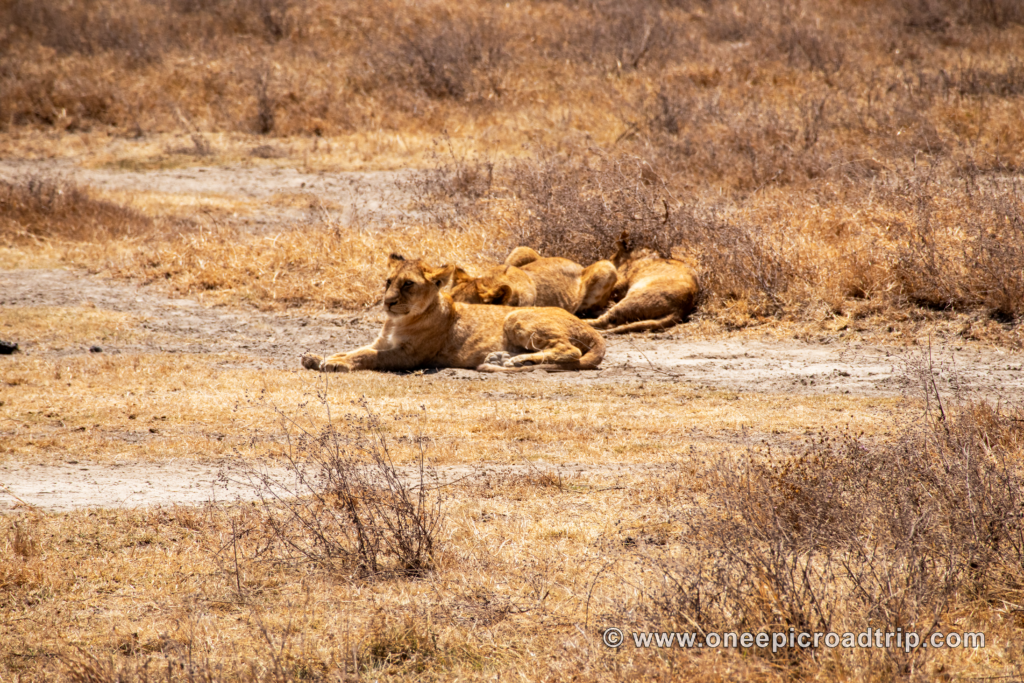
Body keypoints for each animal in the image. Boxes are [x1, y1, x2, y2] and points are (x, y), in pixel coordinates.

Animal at [301, 254, 605, 373]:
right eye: (388, 282)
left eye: (408, 284)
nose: (387, 303)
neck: (397, 321)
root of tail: (591, 329)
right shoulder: (381, 342)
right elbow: (352, 349)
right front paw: (317, 357)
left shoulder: (410, 356)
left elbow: (367, 356)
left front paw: (334, 364)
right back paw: (505, 359)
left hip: (516, 317)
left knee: (569, 351)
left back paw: (517, 362)